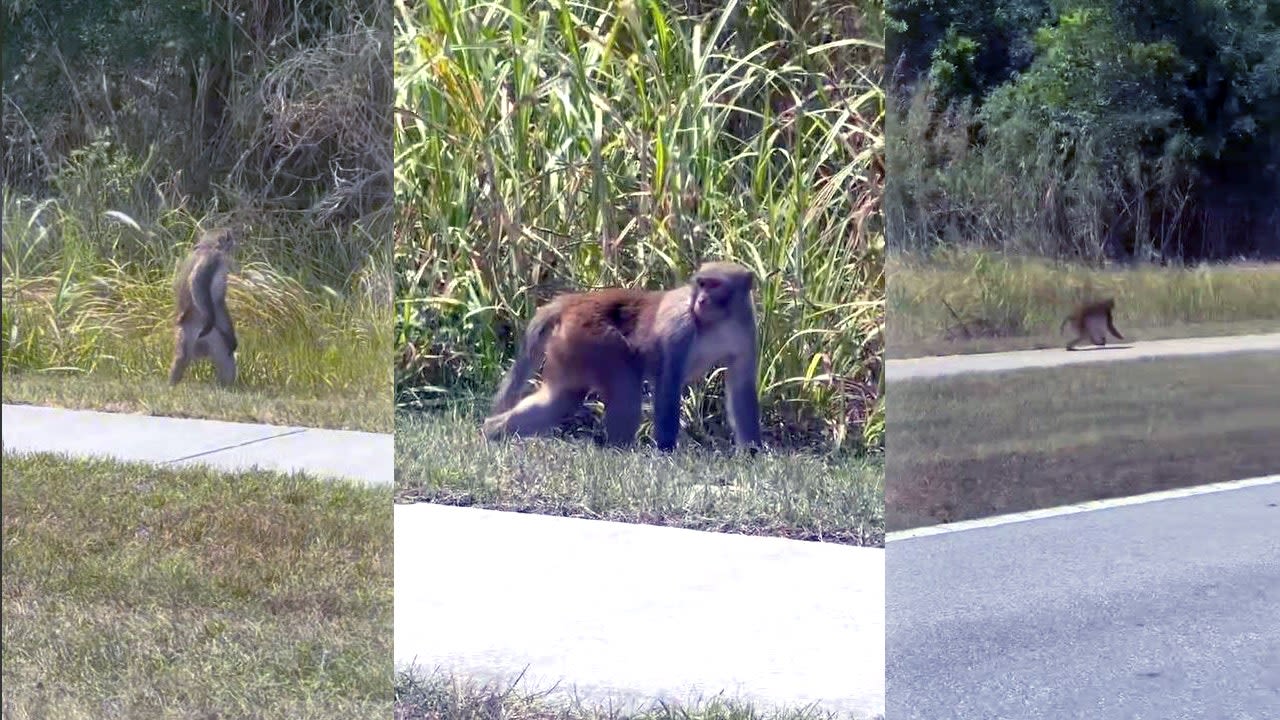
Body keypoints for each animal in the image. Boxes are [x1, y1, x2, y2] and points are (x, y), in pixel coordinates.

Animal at [168, 226, 239, 384]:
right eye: (229, 237)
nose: (234, 241)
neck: (207, 245)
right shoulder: (213, 258)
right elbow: (196, 280)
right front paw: (210, 319)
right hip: (202, 336)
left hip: (193, 337)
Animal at [481, 260, 757, 450]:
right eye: (701, 284)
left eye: (715, 284)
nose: (701, 300)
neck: (718, 321)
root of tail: (573, 301)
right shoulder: (681, 326)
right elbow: (669, 383)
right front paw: (666, 451)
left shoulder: (746, 329)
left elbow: (741, 387)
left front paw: (752, 452)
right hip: (592, 338)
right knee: (624, 385)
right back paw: (621, 450)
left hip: (570, 346)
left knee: (559, 399)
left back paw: (492, 431)